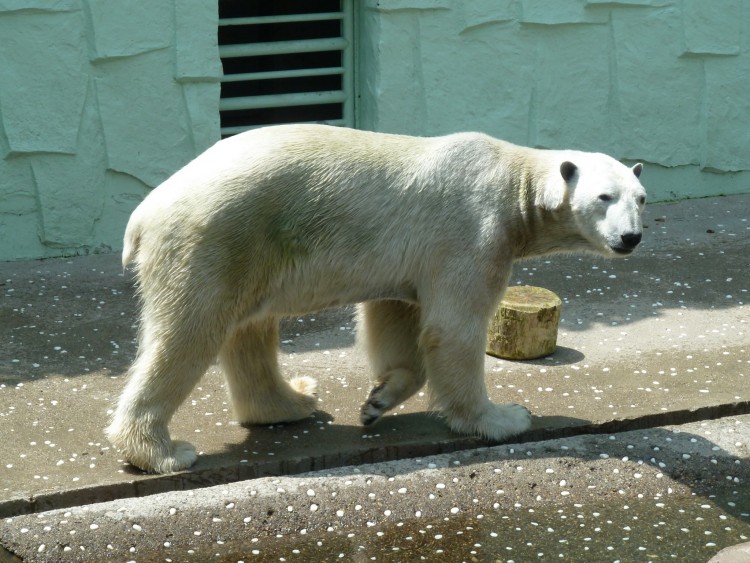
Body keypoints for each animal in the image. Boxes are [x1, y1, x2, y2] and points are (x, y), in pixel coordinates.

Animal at [108, 125, 648, 474]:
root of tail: (143, 212)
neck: (513, 181)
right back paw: (161, 451)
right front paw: (503, 418)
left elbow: (397, 317)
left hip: (250, 249)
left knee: (248, 330)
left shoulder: (411, 260)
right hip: (216, 238)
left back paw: (294, 400)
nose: (631, 237)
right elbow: (453, 329)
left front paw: (377, 399)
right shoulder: (472, 234)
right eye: (604, 197)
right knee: (191, 332)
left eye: (640, 197)